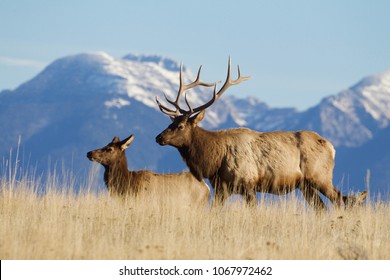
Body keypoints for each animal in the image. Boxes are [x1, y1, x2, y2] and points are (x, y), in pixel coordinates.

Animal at [155, 58, 366, 209]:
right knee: (322, 208)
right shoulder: (222, 188)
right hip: (305, 185)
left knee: (339, 200)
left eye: (181, 125)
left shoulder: (248, 184)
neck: (214, 161)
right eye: (171, 122)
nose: (158, 137)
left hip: (320, 176)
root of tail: (331, 147)